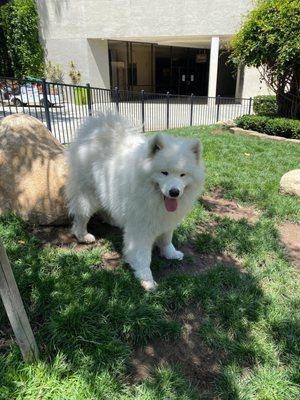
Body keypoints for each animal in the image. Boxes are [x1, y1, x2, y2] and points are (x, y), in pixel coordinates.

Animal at [66, 114, 205, 290]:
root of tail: (98, 130)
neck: (153, 197)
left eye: (182, 174)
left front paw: (171, 254)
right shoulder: (140, 229)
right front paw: (147, 279)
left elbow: (167, 239)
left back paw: (112, 220)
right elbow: (143, 256)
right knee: (81, 215)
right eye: (164, 173)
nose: (174, 192)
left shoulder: (166, 220)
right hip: (88, 194)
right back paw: (83, 235)